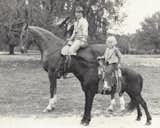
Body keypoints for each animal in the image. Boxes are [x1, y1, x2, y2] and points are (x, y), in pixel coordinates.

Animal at [19, 24, 151, 126]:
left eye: (24, 35)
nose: (21, 49)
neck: (52, 49)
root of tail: (138, 75)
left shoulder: (52, 75)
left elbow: (53, 90)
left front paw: (49, 107)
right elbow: (58, 92)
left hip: (133, 91)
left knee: (139, 101)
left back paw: (145, 119)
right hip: (132, 92)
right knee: (133, 100)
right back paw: (134, 115)